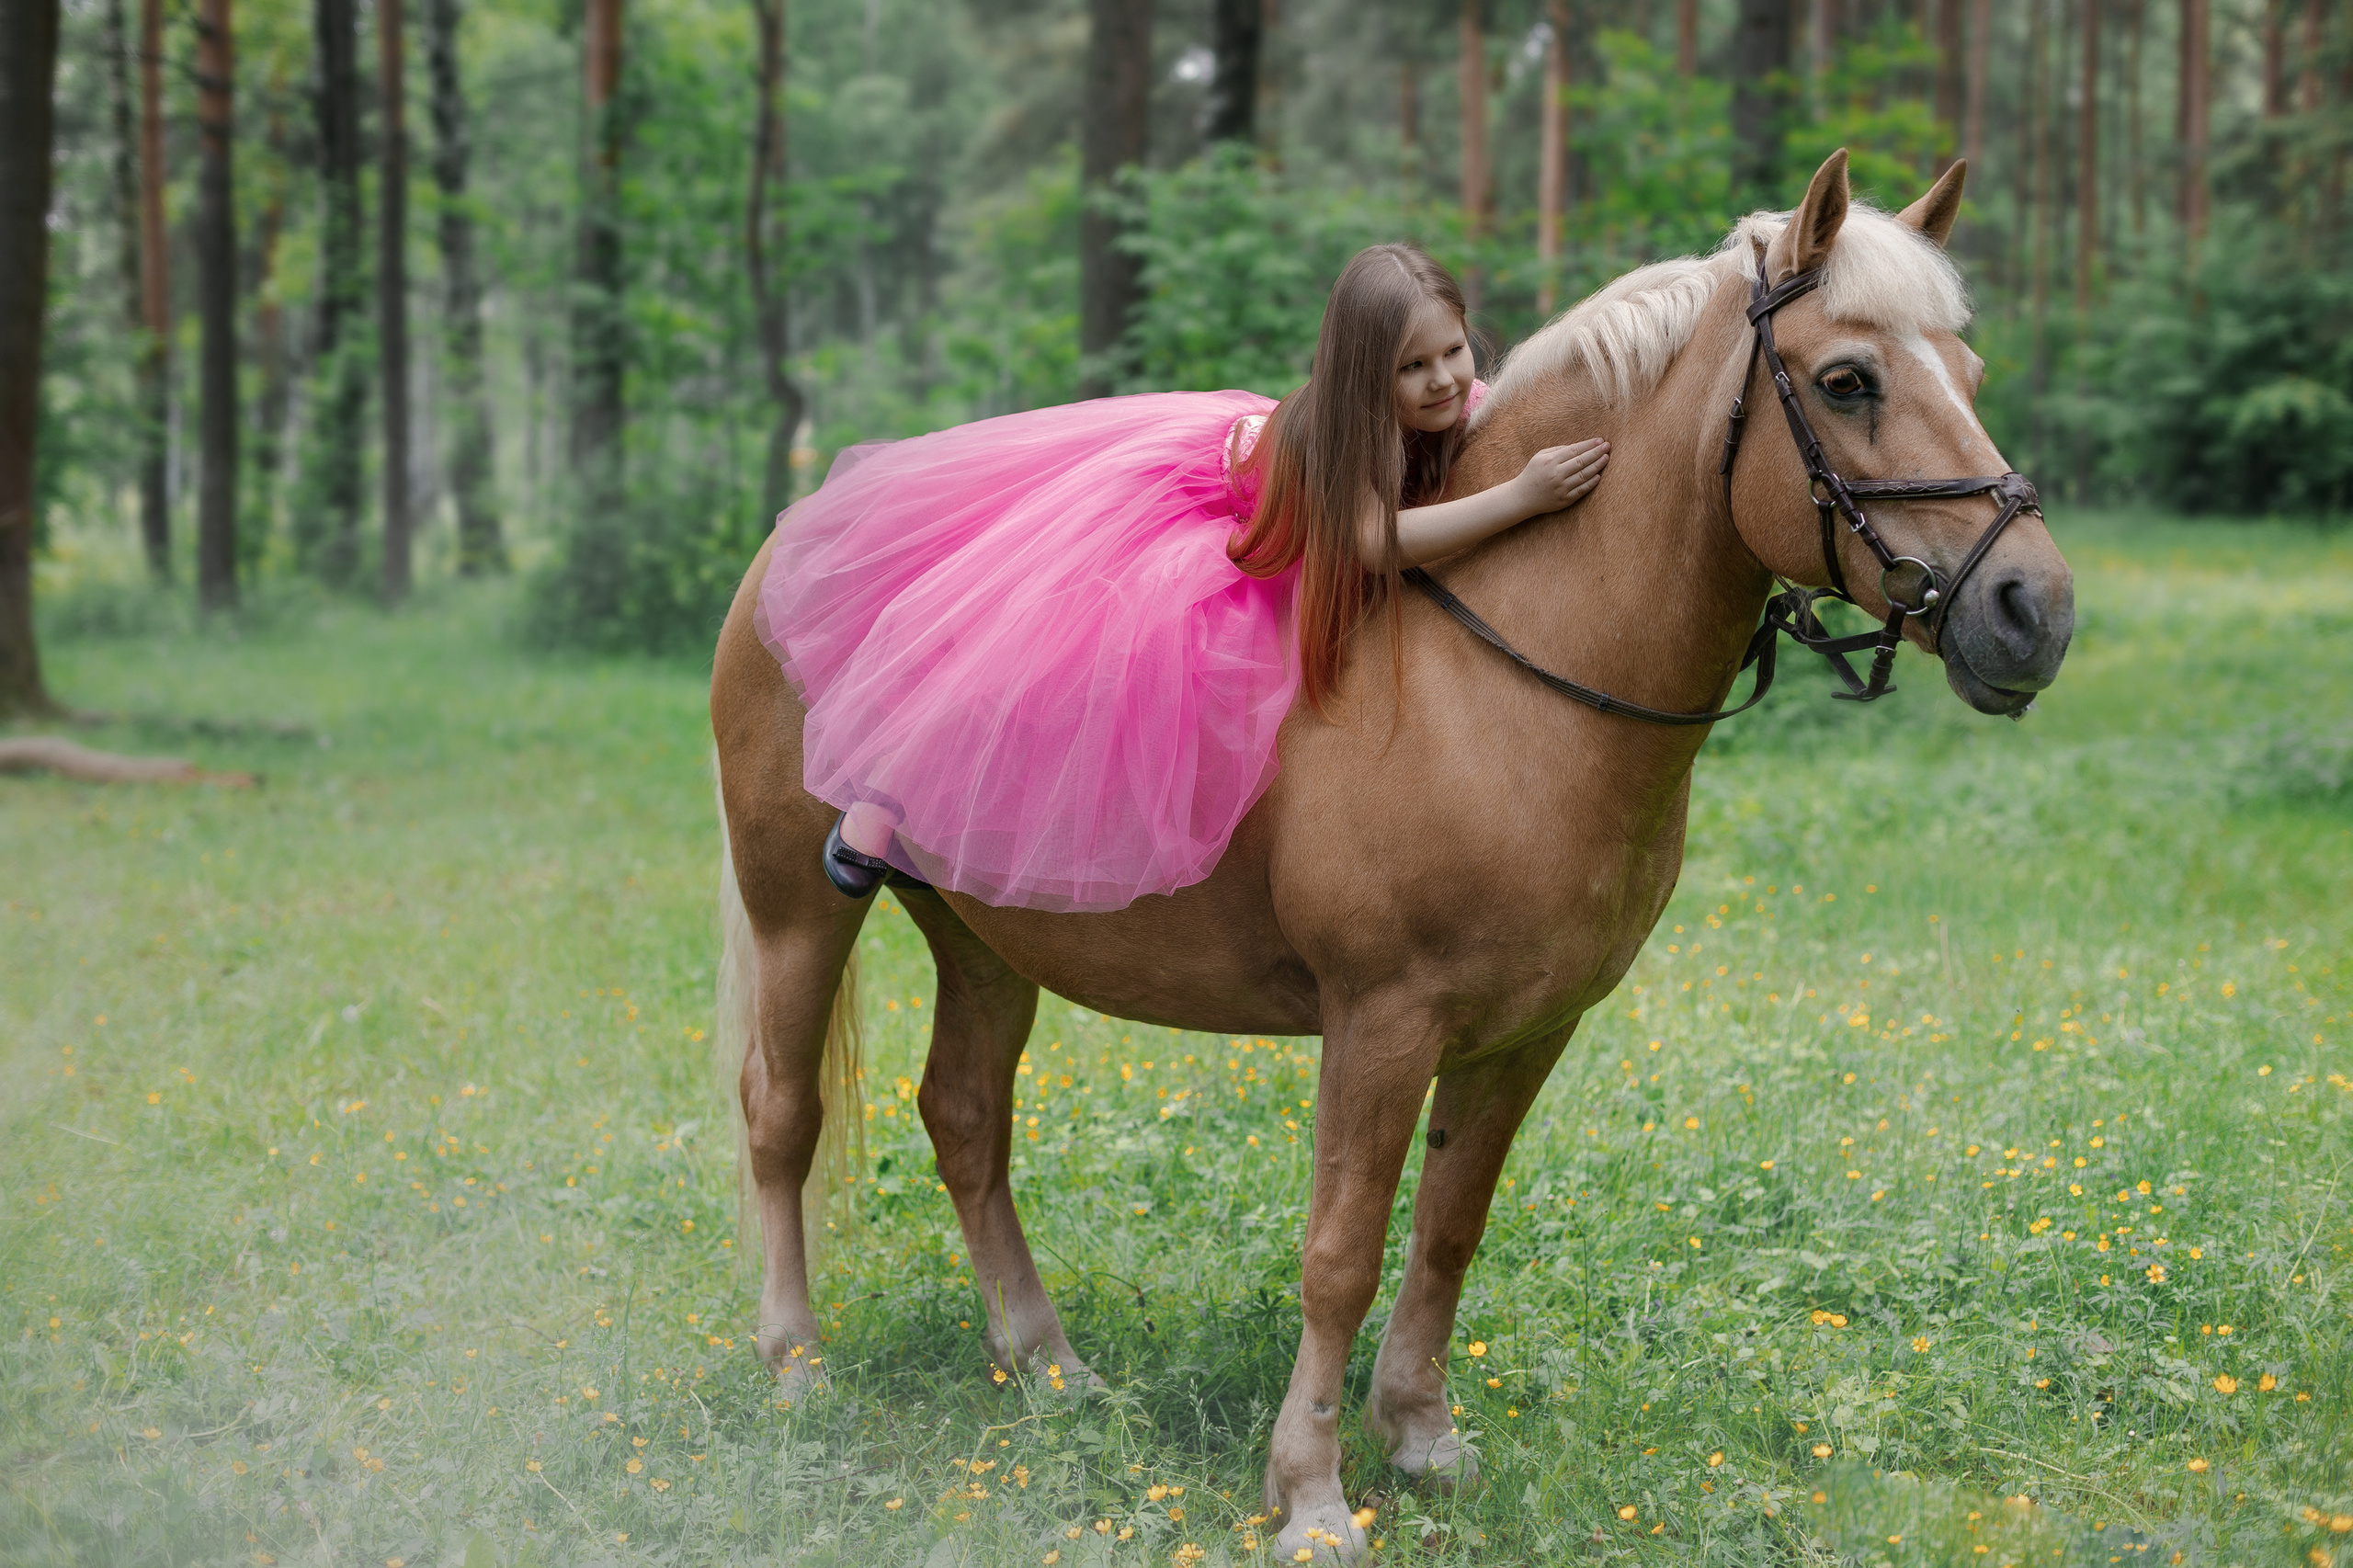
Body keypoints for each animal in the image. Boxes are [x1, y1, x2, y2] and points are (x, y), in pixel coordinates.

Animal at [707, 151, 2074, 1562]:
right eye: (1849, 379)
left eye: (1967, 374)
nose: (2031, 608)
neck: (1500, 673)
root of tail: (800, 531)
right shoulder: (1381, 1022)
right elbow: (1341, 1251)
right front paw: (1309, 1489)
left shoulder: (1523, 1028)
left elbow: (1450, 1225)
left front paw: (1418, 1434)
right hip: (795, 907)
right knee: (781, 1112)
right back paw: (796, 1366)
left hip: (984, 936)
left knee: (967, 1118)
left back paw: (1049, 1368)